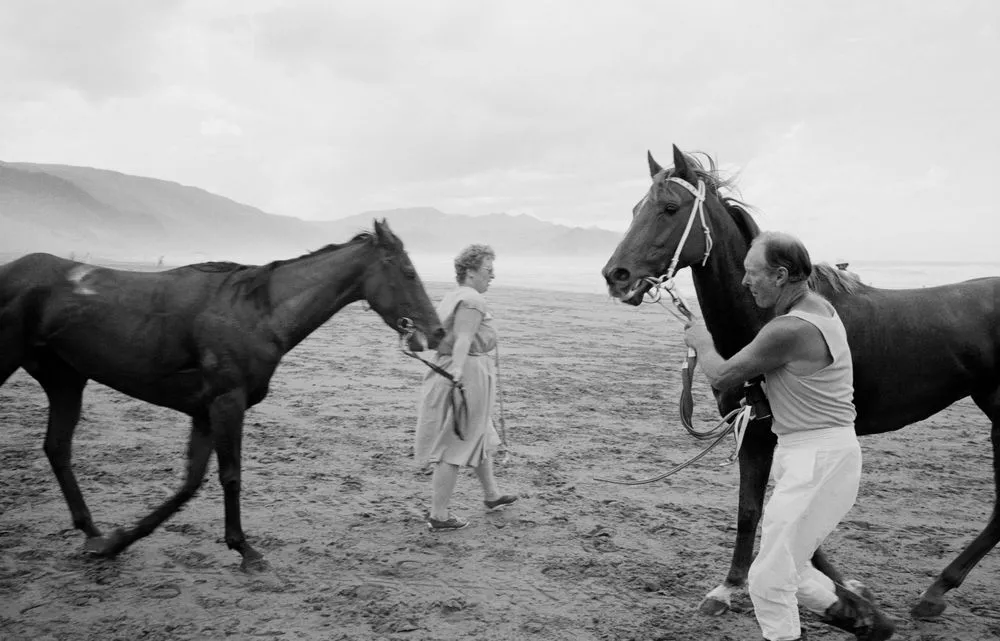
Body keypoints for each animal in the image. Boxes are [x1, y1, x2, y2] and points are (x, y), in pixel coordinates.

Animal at [0, 220, 446, 568]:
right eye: (408, 272)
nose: (438, 332)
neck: (256, 312)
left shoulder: (204, 412)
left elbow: (189, 484)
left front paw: (118, 541)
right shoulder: (227, 403)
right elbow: (230, 475)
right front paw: (245, 549)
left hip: (65, 380)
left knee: (57, 448)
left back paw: (92, 532)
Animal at [600, 144, 1000, 616]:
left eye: (669, 208)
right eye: (634, 209)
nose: (616, 276)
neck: (765, 317)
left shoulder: (758, 432)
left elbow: (755, 510)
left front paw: (732, 586)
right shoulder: (767, 431)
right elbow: (779, 513)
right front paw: (837, 582)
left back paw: (937, 590)